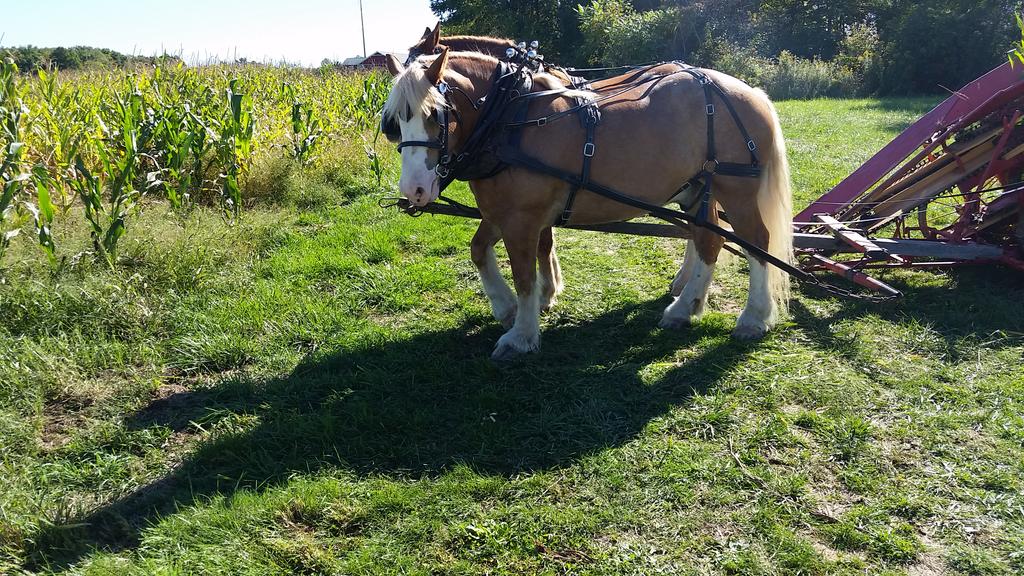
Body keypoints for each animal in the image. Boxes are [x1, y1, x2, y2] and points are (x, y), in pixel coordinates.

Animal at [382, 49, 793, 360]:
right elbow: (479, 250)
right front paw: (507, 307)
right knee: (709, 239)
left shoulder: (522, 218)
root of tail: (750, 91)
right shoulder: (503, 212)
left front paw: (522, 334)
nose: (414, 189)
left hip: (736, 190)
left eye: (435, 114)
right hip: (697, 189)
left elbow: (525, 275)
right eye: (394, 123)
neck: (509, 120)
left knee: (755, 242)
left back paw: (753, 317)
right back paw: (684, 305)